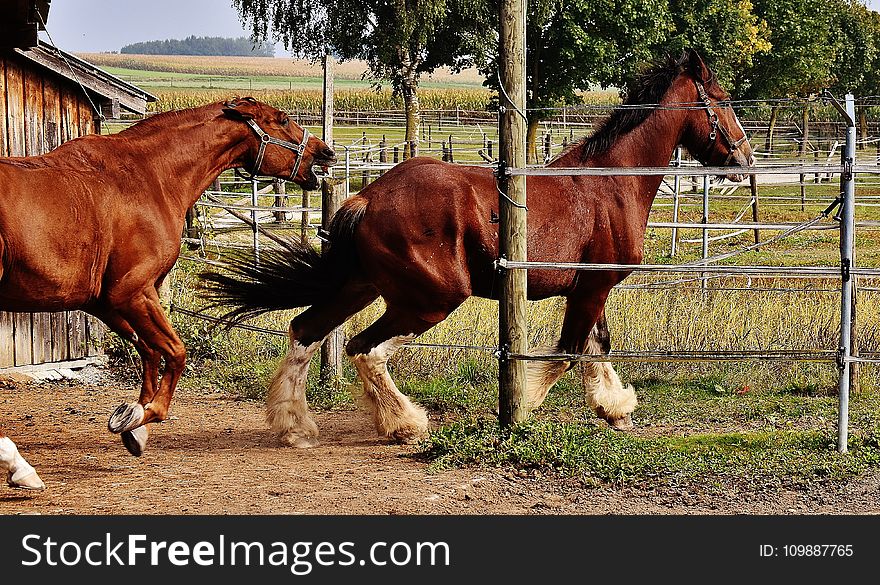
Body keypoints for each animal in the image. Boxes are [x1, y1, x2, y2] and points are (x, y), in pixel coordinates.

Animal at [0, 97, 336, 488]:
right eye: (282, 120)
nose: (325, 152)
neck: (148, 177)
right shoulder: (132, 292)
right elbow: (175, 352)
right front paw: (145, 415)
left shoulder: (107, 302)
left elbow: (148, 352)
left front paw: (134, 423)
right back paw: (20, 467)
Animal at [203, 51, 752, 448]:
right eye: (723, 100)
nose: (745, 157)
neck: (608, 184)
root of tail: (368, 195)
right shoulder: (592, 288)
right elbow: (567, 353)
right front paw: (524, 409)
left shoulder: (589, 289)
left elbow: (597, 346)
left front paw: (615, 409)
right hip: (431, 298)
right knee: (366, 349)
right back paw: (404, 424)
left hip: (362, 287)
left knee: (305, 331)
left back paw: (294, 427)